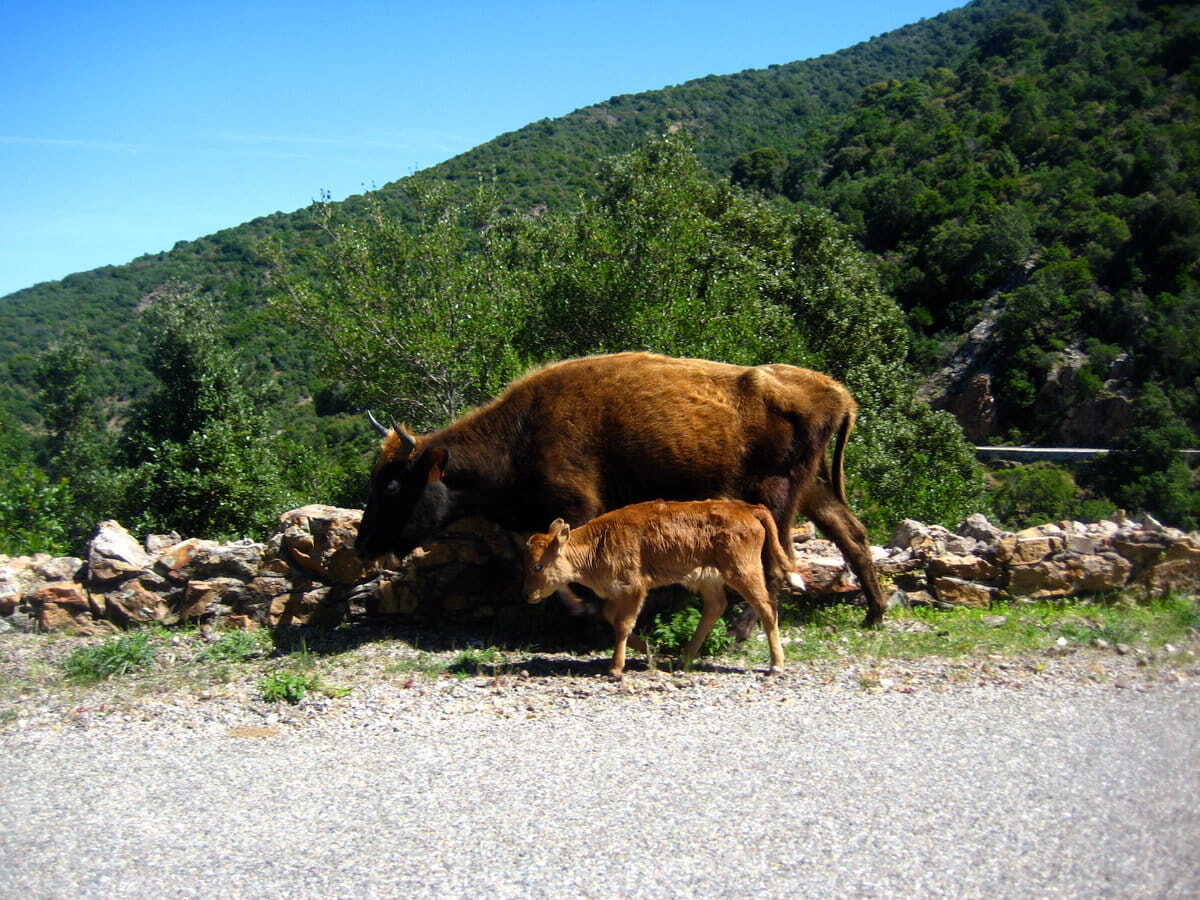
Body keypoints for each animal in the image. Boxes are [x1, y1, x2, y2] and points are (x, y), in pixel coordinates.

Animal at [355, 351, 886, 627]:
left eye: (394, 483)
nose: (363, 544)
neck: (524, 432)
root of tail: (837, 393)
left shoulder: (578, 507)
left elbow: (566, 569)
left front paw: (591, 611)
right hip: (814, 489)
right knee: (853, 537)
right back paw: (874, 614)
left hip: (777, 496)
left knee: (776, 563)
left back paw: (742, 631)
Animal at [523, 500, 791, 677]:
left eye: (538, 566)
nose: (529, 595)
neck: (597, 543)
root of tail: (746, 508)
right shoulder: (616, 592)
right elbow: (610, 617)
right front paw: (651, 650)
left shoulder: (634, 588)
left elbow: (623, 623)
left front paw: (616, 668)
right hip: (709, 579)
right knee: (715, 607)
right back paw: (684, 658)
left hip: (743, 572)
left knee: (766, 607)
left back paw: (776, 665)